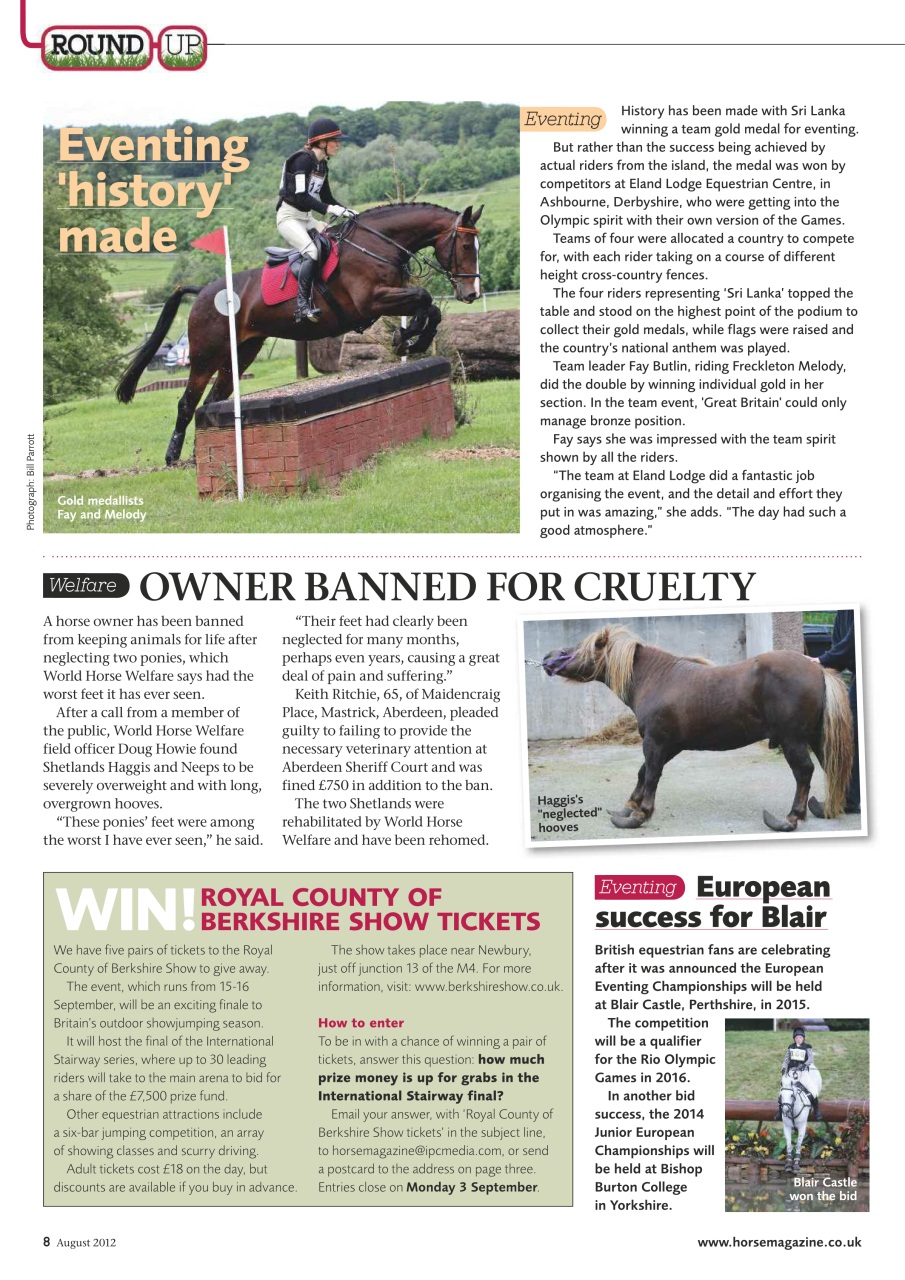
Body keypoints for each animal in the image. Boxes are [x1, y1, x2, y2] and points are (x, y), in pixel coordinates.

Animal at [116, 202, 483, 464]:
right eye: (466, 245)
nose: (471, 294)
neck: (375, 245)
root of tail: (202, 291)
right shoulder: (372, 302)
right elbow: (424, 298)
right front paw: (408, 339)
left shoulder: (388, 299)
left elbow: (429, 308)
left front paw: (410, 340)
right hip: (206, 356)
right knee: (187, 403)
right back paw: (173, 456)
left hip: (242, 353)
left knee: (212, 402)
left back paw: (199, 454)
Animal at [541, 624, 854, 832]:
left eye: (584, 647)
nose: (548, 658)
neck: (657, 678)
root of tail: (817, 669)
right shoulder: (669, 746)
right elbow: (643, 772)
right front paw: (629, 807)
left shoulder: (656, 742)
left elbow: (651, 775)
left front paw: (640, 814)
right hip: (815, 737)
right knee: (829, 766)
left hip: (793, 740)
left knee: (804, 772)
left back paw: (792, 818)